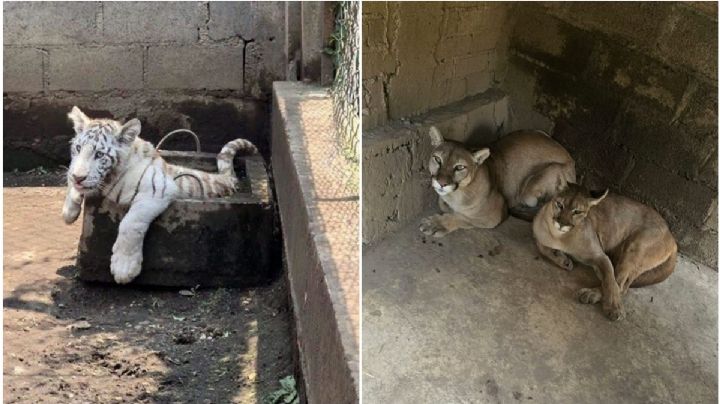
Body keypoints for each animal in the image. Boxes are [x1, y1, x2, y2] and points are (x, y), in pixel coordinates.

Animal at [61, 106, 257, 284]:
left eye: (99, 154)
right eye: (78, 148)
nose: (78, 177)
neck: (110, 177)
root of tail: (227, 178)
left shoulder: (158, 189)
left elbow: (130, 223)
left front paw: (124, 268)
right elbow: (72, 179)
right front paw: (69, 211)